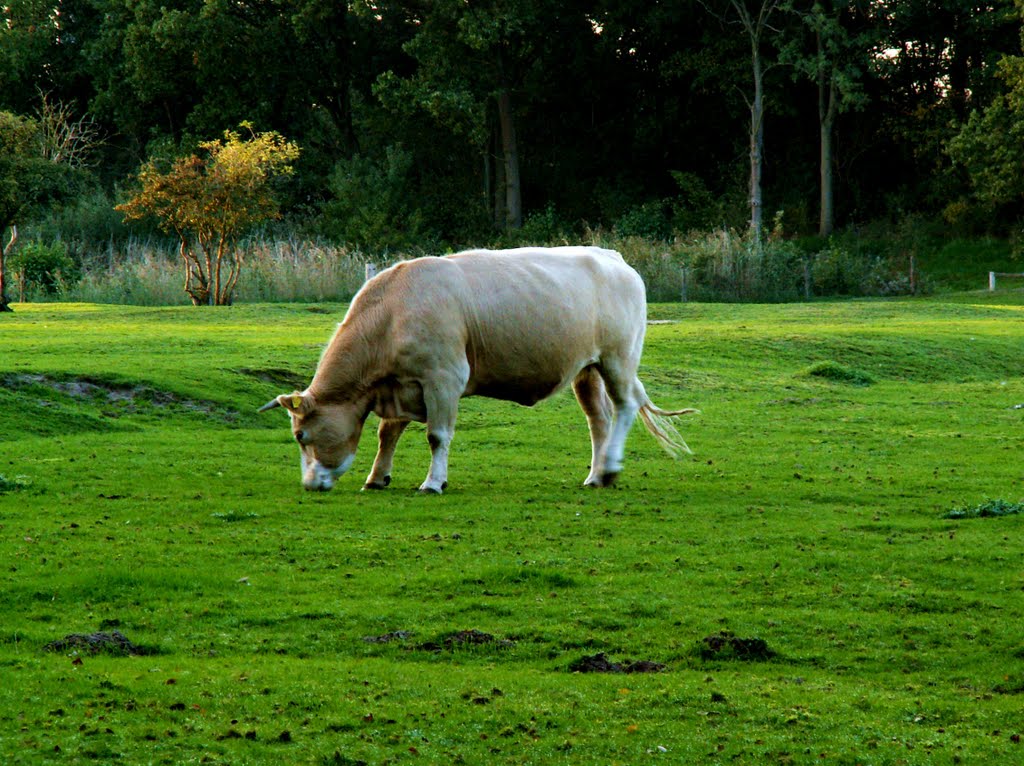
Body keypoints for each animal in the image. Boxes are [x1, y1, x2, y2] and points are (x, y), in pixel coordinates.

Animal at [260, 248, 700, 493]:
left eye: (300, 435)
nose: (309, 485)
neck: (393, 312)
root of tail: (615, 259)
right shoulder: (400, 384)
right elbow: (388, 433)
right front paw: (377, 477)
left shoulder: (443, 378)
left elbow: (437, 436)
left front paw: (433, 482)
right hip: (586, 370)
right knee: (599, 420)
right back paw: (596, 474)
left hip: (617, 359)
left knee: (624, 408)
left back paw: (610, 468)